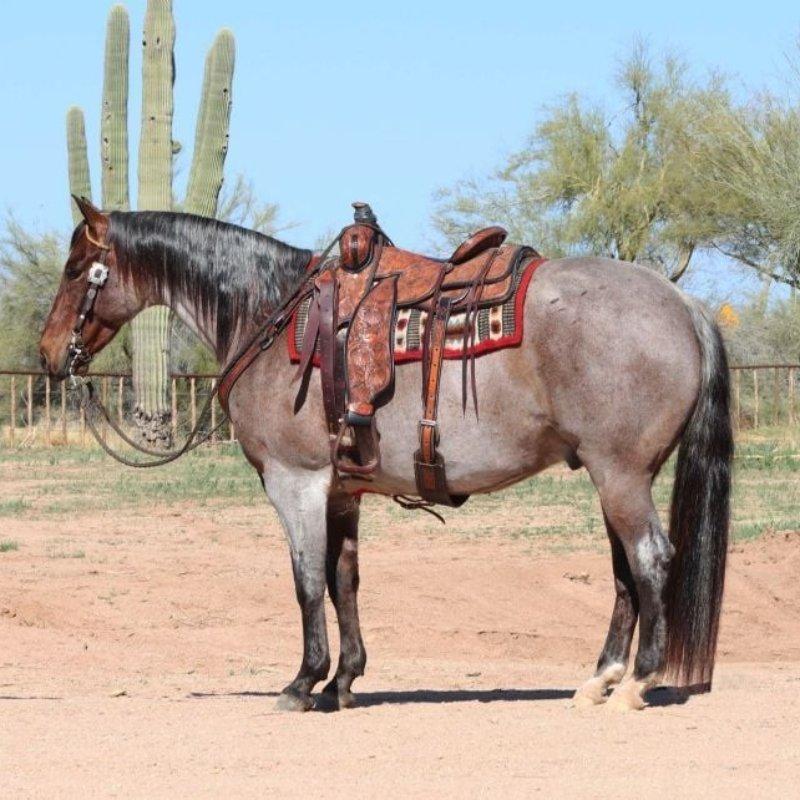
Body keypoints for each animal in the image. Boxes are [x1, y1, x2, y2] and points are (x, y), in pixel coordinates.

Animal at [39, 198, 732, 712]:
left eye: (76, 268)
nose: (48, 354)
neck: (269, 316)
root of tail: (683, 304)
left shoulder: (295, 484)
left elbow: (306, 581)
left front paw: (303, 681)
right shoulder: (342, 491)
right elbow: (343, 581)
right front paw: (343, 681)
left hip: (621, 475)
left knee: (650, 560)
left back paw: (637, 683)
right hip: (615, 477)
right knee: (624, 572)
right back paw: (600, 679)